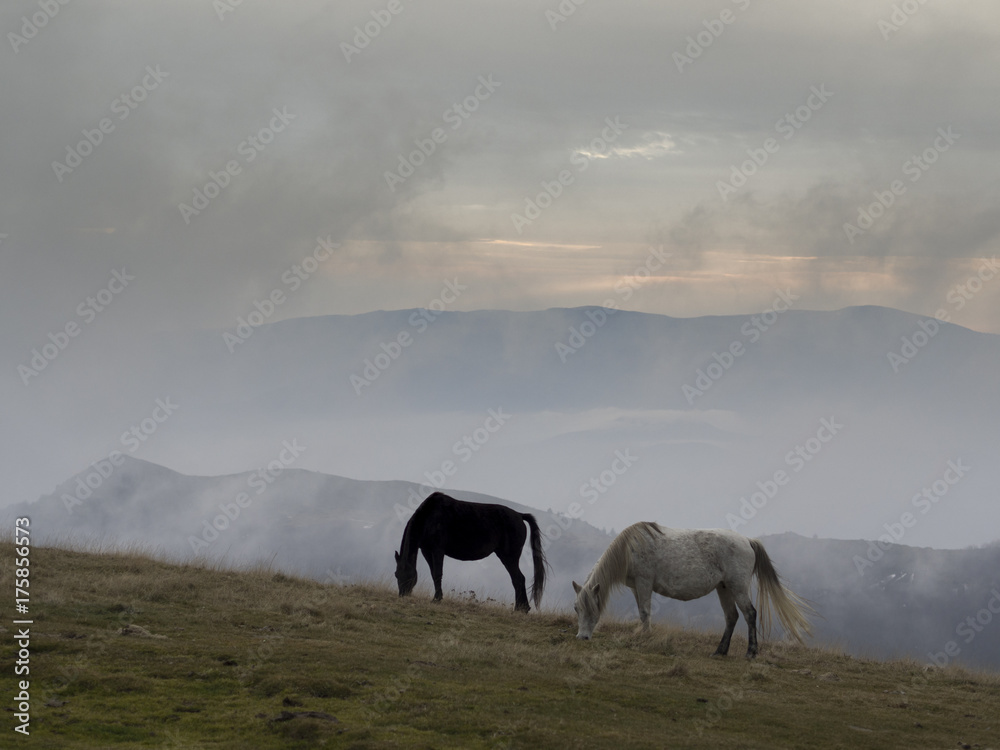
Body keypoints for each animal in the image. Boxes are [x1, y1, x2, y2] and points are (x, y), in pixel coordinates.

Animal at [394, 492, 548, 612]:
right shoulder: (426, 550)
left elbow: (438, 574)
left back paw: (520, 609)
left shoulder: (437, 550)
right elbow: (433, 574)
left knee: (518, 578)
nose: (402, 595)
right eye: (396, 574)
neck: (429, 517)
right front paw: (437, 597)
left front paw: (437, 599)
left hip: (509, 557)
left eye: (407, 575)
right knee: (518, 579)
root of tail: (520, 516)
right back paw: (522, 608)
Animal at [572, 522, 813, 658]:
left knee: (750, 614)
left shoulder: (644, 582)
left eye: (592, 609)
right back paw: (719, 652)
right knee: (731, 617)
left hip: (737, 587)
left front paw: (646, 637)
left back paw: (751, 652)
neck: (630, 548)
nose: (582, 637)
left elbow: (645, 612)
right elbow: (642, 612)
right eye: (576, 609)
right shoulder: (635, 587)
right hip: (724, 588)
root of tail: (747, 541)